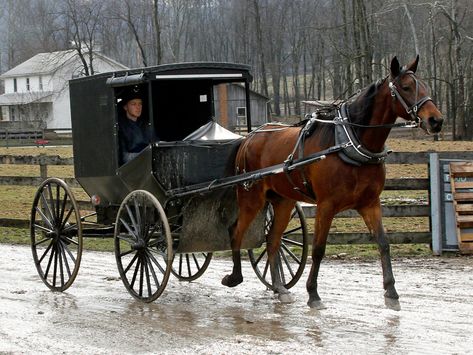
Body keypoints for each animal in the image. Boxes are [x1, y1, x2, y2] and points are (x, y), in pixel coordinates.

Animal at [221, 55, 442, 308]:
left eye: (424, 86)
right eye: (405, 87)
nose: (436, 120)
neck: (349, 143)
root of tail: (250, 137)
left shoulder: (370, 204)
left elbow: (384, 243)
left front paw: (391, 292)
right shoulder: (326, 205)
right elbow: (318, 249)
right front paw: (313, 293)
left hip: (283, 201)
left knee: (273, 240)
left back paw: (279, 287)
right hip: (251, 197)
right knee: (236, 231)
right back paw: (234, 276)